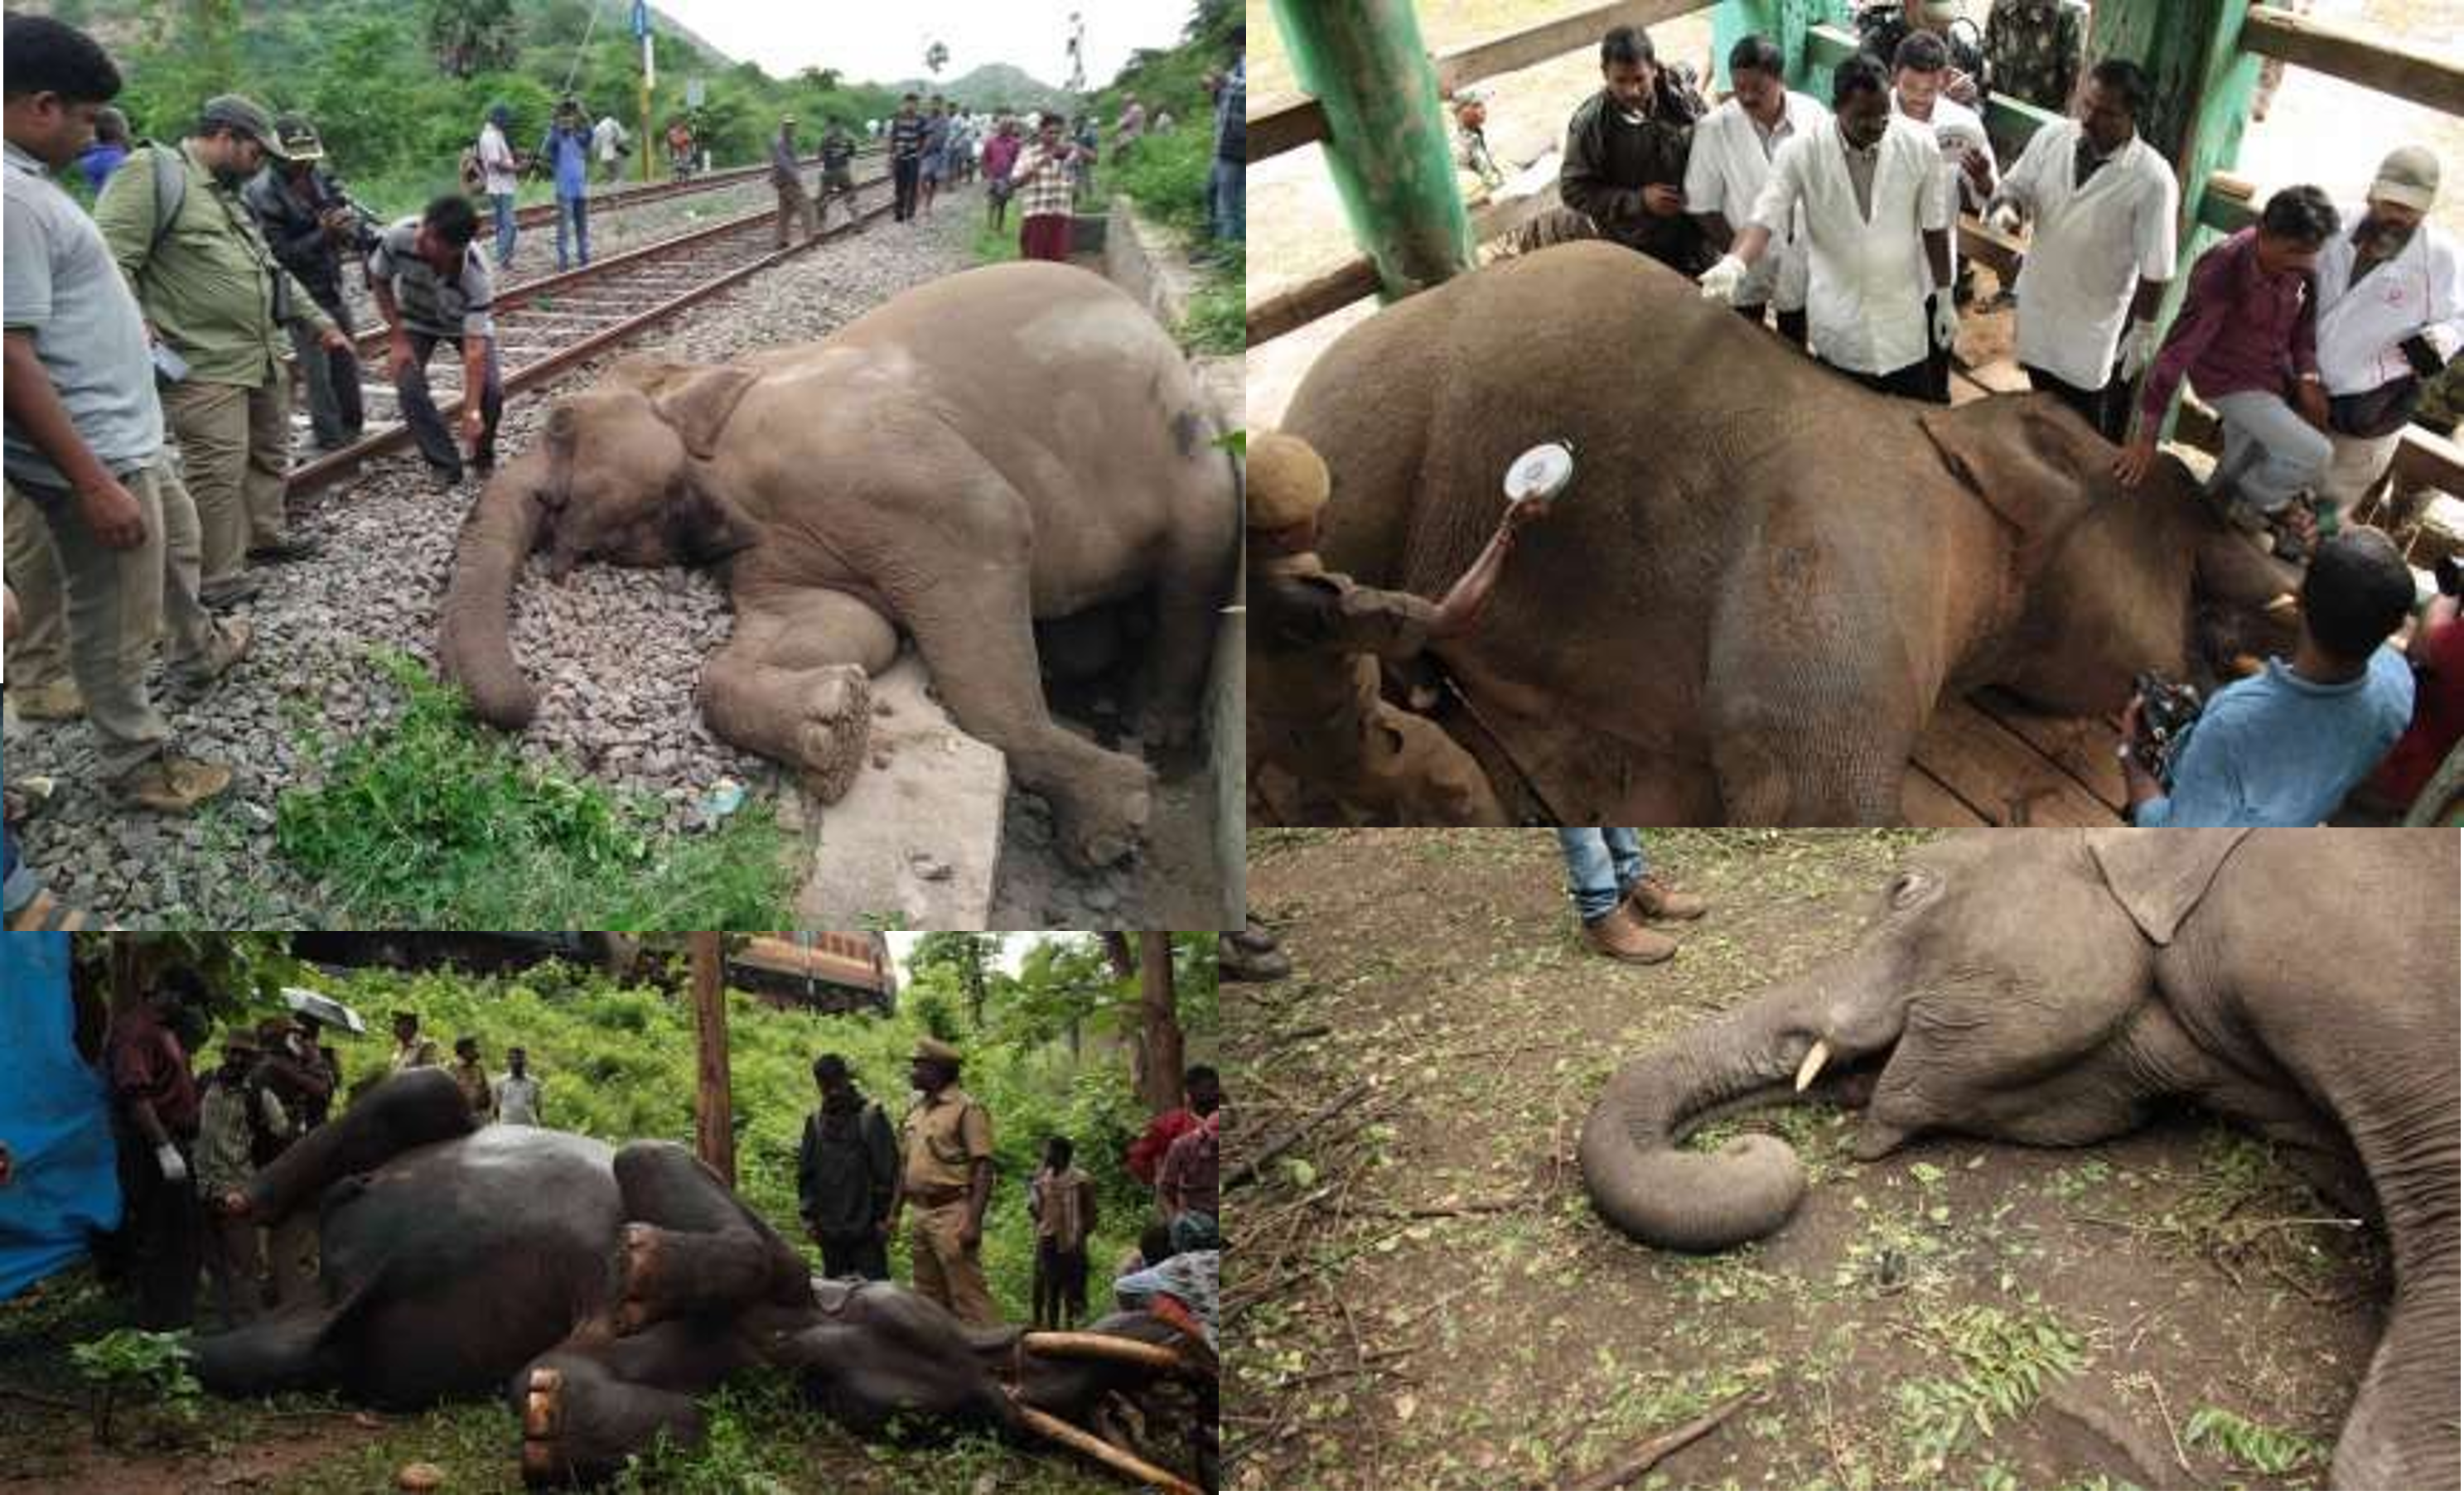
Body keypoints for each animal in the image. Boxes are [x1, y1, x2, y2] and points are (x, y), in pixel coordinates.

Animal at [194, 1069, 1213, 1490]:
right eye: (920, 1327)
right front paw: (639, 1263)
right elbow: (668, 1170)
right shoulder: (702, 1192)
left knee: (244, 1354)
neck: (788, 1329)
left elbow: (561, 1380)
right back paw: (238, 1201)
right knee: (425, 1085)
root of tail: (322, 1272)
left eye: (836, 1394)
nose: (1170, 1341)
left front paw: (546, 1421)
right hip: (429, 1101)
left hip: (298, 1343)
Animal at [438, 260, 1239, 868]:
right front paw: (837, 721)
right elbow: (839, 625)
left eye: (559, 423)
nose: (529, 697)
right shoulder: (779, 544)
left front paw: (1114, 829)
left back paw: (1154, 729)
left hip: (1186, 441)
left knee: (1196, 558)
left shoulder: (854, 449)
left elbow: (986, 529)